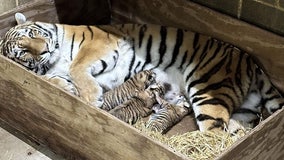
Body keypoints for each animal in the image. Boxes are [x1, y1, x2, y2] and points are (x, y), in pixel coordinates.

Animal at [0, 12, 284, 131]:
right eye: (23, 52)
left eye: (31, 34)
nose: (44, 49)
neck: (54, 58)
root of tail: (251, 62)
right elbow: (54, 79)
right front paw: (69, 88)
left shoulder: (99, 44)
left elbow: (76, 65)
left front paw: (91, 98)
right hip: (243, 109)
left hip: (207, 91)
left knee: (213, 135)